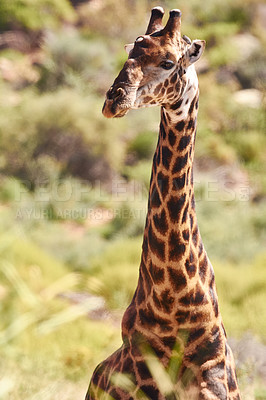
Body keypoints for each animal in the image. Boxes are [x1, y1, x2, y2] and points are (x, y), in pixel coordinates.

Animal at [85, 7, 241, 400]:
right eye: (130, 51)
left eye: (169, 62)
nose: (114, 100)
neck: (174, 300)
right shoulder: (141, 379)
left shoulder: (215, 377)